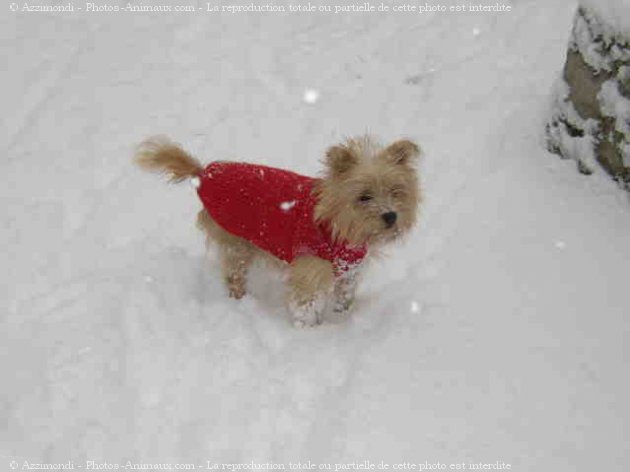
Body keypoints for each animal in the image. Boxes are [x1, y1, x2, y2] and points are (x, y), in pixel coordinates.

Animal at [135, 136, 422, 328]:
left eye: (396, 191)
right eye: (364, 197)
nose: (390, 216)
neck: (335, 226)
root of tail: (202, 172)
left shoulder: (348, 270)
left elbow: (345, 296)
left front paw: (343, 316)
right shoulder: (310, 272)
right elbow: (306, 306)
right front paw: (310, 331)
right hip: (237, 244)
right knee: (234, 275)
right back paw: (238, 299)